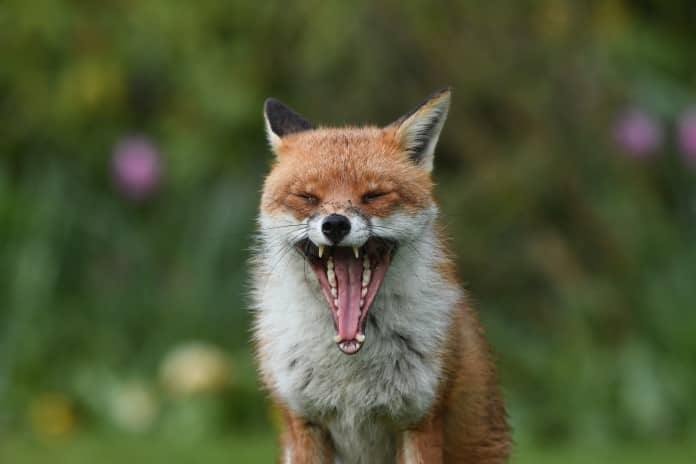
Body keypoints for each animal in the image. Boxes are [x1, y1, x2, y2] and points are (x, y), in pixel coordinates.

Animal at [251, 89, 512, 462]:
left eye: (374, 195)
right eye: (307, 197)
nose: (335, 224)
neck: (349, 366)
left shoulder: (420, 421)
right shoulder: (303, 423)